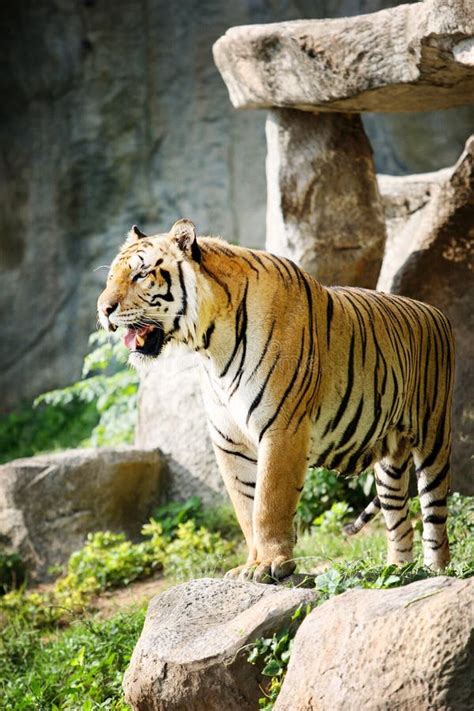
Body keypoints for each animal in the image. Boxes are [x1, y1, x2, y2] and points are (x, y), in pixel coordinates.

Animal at [97, 220, 456, 580]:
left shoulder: (282, 429)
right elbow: (246, 507)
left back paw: (437, 572)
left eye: (140, 274)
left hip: (433, 439)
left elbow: (269, 503)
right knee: (399, 521)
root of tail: (434, 311)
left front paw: (270, 564)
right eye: (110, 278)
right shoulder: (229, 442)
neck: (210, 345)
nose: (103, 309)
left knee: (435, 516)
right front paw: (251, 564)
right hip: (389, 463)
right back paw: (400, 572)